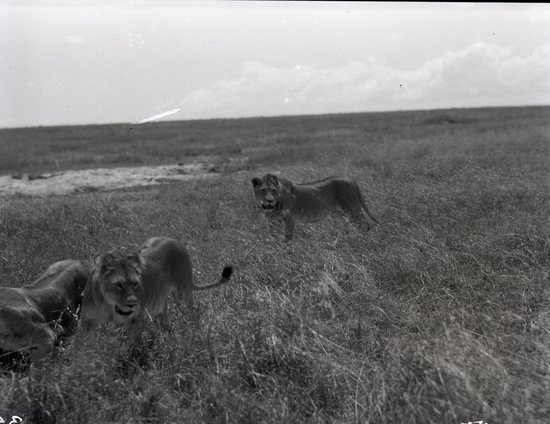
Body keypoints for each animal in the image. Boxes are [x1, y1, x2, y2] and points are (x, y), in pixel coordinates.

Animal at [79, 235, 233, 348]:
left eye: (136, 283)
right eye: (118, 285)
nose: (132, 303)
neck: (110, 305)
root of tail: (174, 240)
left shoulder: (137, 319)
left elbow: (134, 345)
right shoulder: (87, 321)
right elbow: (80, 347)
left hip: (183, 294)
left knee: (193, 314)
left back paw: (194, 335)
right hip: (159, 302)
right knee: (165, 322)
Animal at [252, 173, 382, 242]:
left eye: (273, 190)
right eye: (263, 190)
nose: (269, 200)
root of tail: (352, 179)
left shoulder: (290, 218)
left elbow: (288, 237)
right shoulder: (273, 221)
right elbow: (272, 235)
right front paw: (272, 247)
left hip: (352, 209)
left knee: (365, 225)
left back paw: (363, 241)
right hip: (337, 214)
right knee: (344, 229)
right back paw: (335, 244)